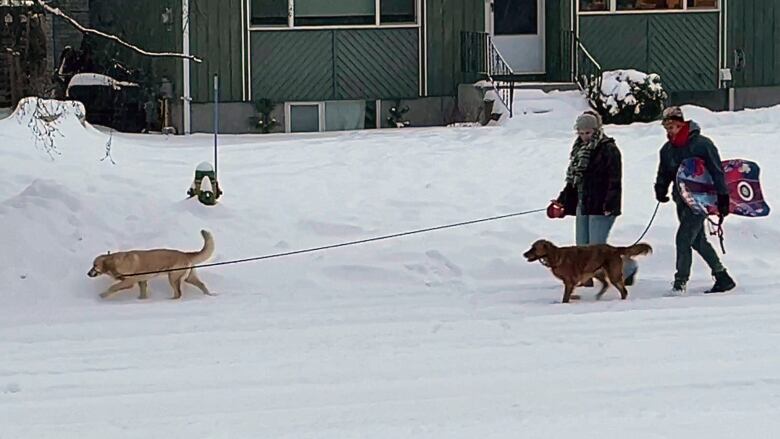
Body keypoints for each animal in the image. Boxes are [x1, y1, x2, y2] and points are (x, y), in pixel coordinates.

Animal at [524, 239, 652, 304]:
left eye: (534, 248)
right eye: (531, 247)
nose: (524, 254)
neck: (555, 256)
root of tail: (615, 248)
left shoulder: (569, 282)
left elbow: (565, 297)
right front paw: (574, 297)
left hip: (613, 274)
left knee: (623, 291)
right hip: (596, 272)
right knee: (606, 284)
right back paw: (598, 297)